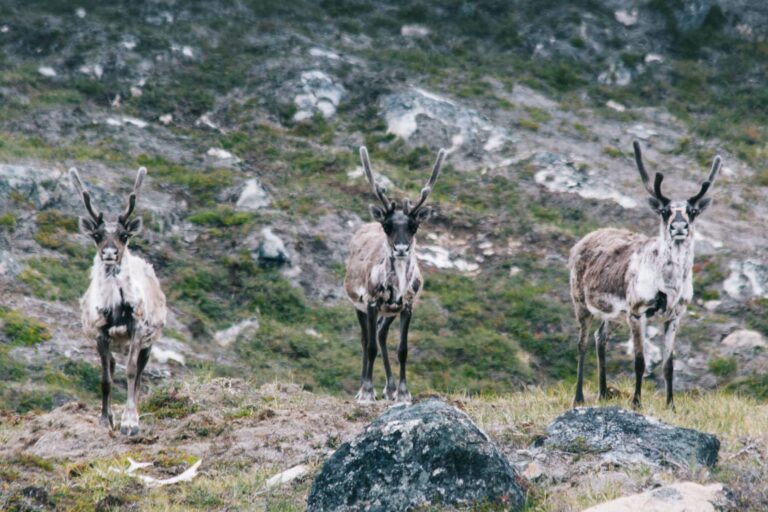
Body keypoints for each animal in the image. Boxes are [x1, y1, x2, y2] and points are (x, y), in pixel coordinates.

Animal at [70, 166, 166, 435]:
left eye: (124, 235)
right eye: (96, 234)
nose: (110, 253)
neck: (115, 310)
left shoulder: (138, 329)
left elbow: (132, 373)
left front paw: (130, 422)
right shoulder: (100, 333)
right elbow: (105, 378)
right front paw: (105, 419)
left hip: (149, 342)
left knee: (140, 374)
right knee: (112, 366)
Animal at [344, 146, 446, 403]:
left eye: (414, 226)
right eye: (387, 226)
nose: (401, 249)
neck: (397, 285)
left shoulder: (406, 306)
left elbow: (402, 349)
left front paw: (403, 392)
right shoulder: (370, 302)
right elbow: (370, 347)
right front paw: (367, 391)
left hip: (389, 311)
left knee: (381, 334)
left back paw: (389, 388)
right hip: (358, 305)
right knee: (366, 340)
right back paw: (363, 387)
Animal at [568, 141, 720, 410]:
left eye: (692, 211)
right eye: (664, 210)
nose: (679, 227)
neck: (669, 283)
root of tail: (582, 240)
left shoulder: (674, 316)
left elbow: (669, 365)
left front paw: (671, 405)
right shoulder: (637, 311)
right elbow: (640, 361)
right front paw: (636, 402)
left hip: (614, 314)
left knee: (600, 338)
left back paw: (603, 393)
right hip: (581, 303)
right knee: (582, 343)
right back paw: (579, 398)